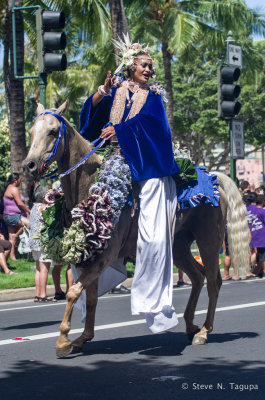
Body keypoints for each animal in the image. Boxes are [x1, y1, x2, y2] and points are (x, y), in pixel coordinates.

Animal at [22, 101, 250, 358]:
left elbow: (74, 292)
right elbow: (89, 297)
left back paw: (203, 332)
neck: (90, 188)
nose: (28, 166)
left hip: (209, 240)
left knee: (213, 281)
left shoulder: (106, 255)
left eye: (52, 131)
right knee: (198, 277)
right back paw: (191, 325)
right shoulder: (91, 255)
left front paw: (63, 341)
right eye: (31, 131)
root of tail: (214, 177)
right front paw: (82, 338)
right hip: (179, 245)